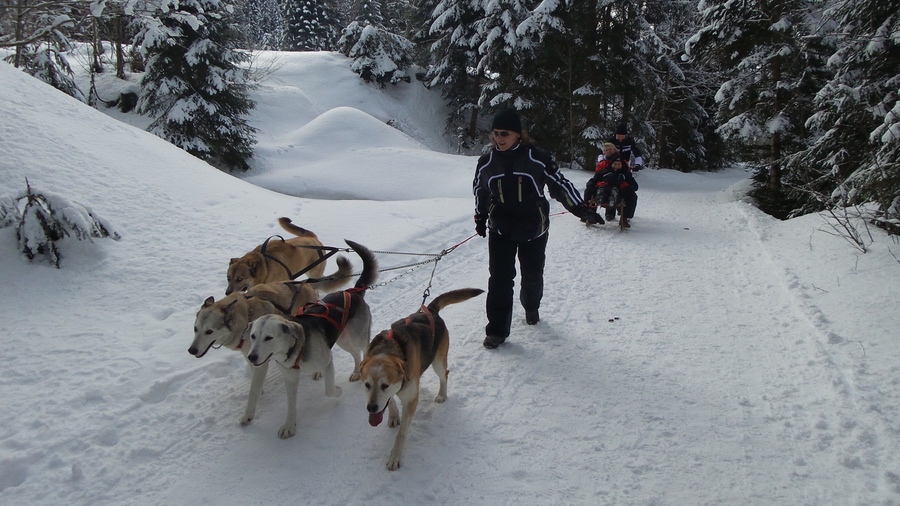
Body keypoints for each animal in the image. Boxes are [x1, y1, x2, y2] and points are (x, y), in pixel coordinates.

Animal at [246, 239, 376, 436]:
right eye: (253, 336)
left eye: (269, 337)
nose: (251, 357)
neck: (296, 347)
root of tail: (353, 291)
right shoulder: (290, 377)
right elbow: (291, 404)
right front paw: (289, 425)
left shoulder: (328, 363)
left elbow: (329, 390)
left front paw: (337, 391)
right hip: (343, 340)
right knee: (355, 354)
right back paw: (355, 372)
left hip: (358, 336)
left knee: (364, 350)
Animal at [360, 288, 486, 470]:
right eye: (367, 385)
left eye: (385, 385)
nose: (371, 408)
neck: (388, 349)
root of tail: (430, 310)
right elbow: (390, 402)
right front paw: (393, 416)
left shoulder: (411, 401)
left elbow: (401, 434)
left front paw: (395, 456)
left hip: (438, 361)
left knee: (444, 374)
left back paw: (441, 394)